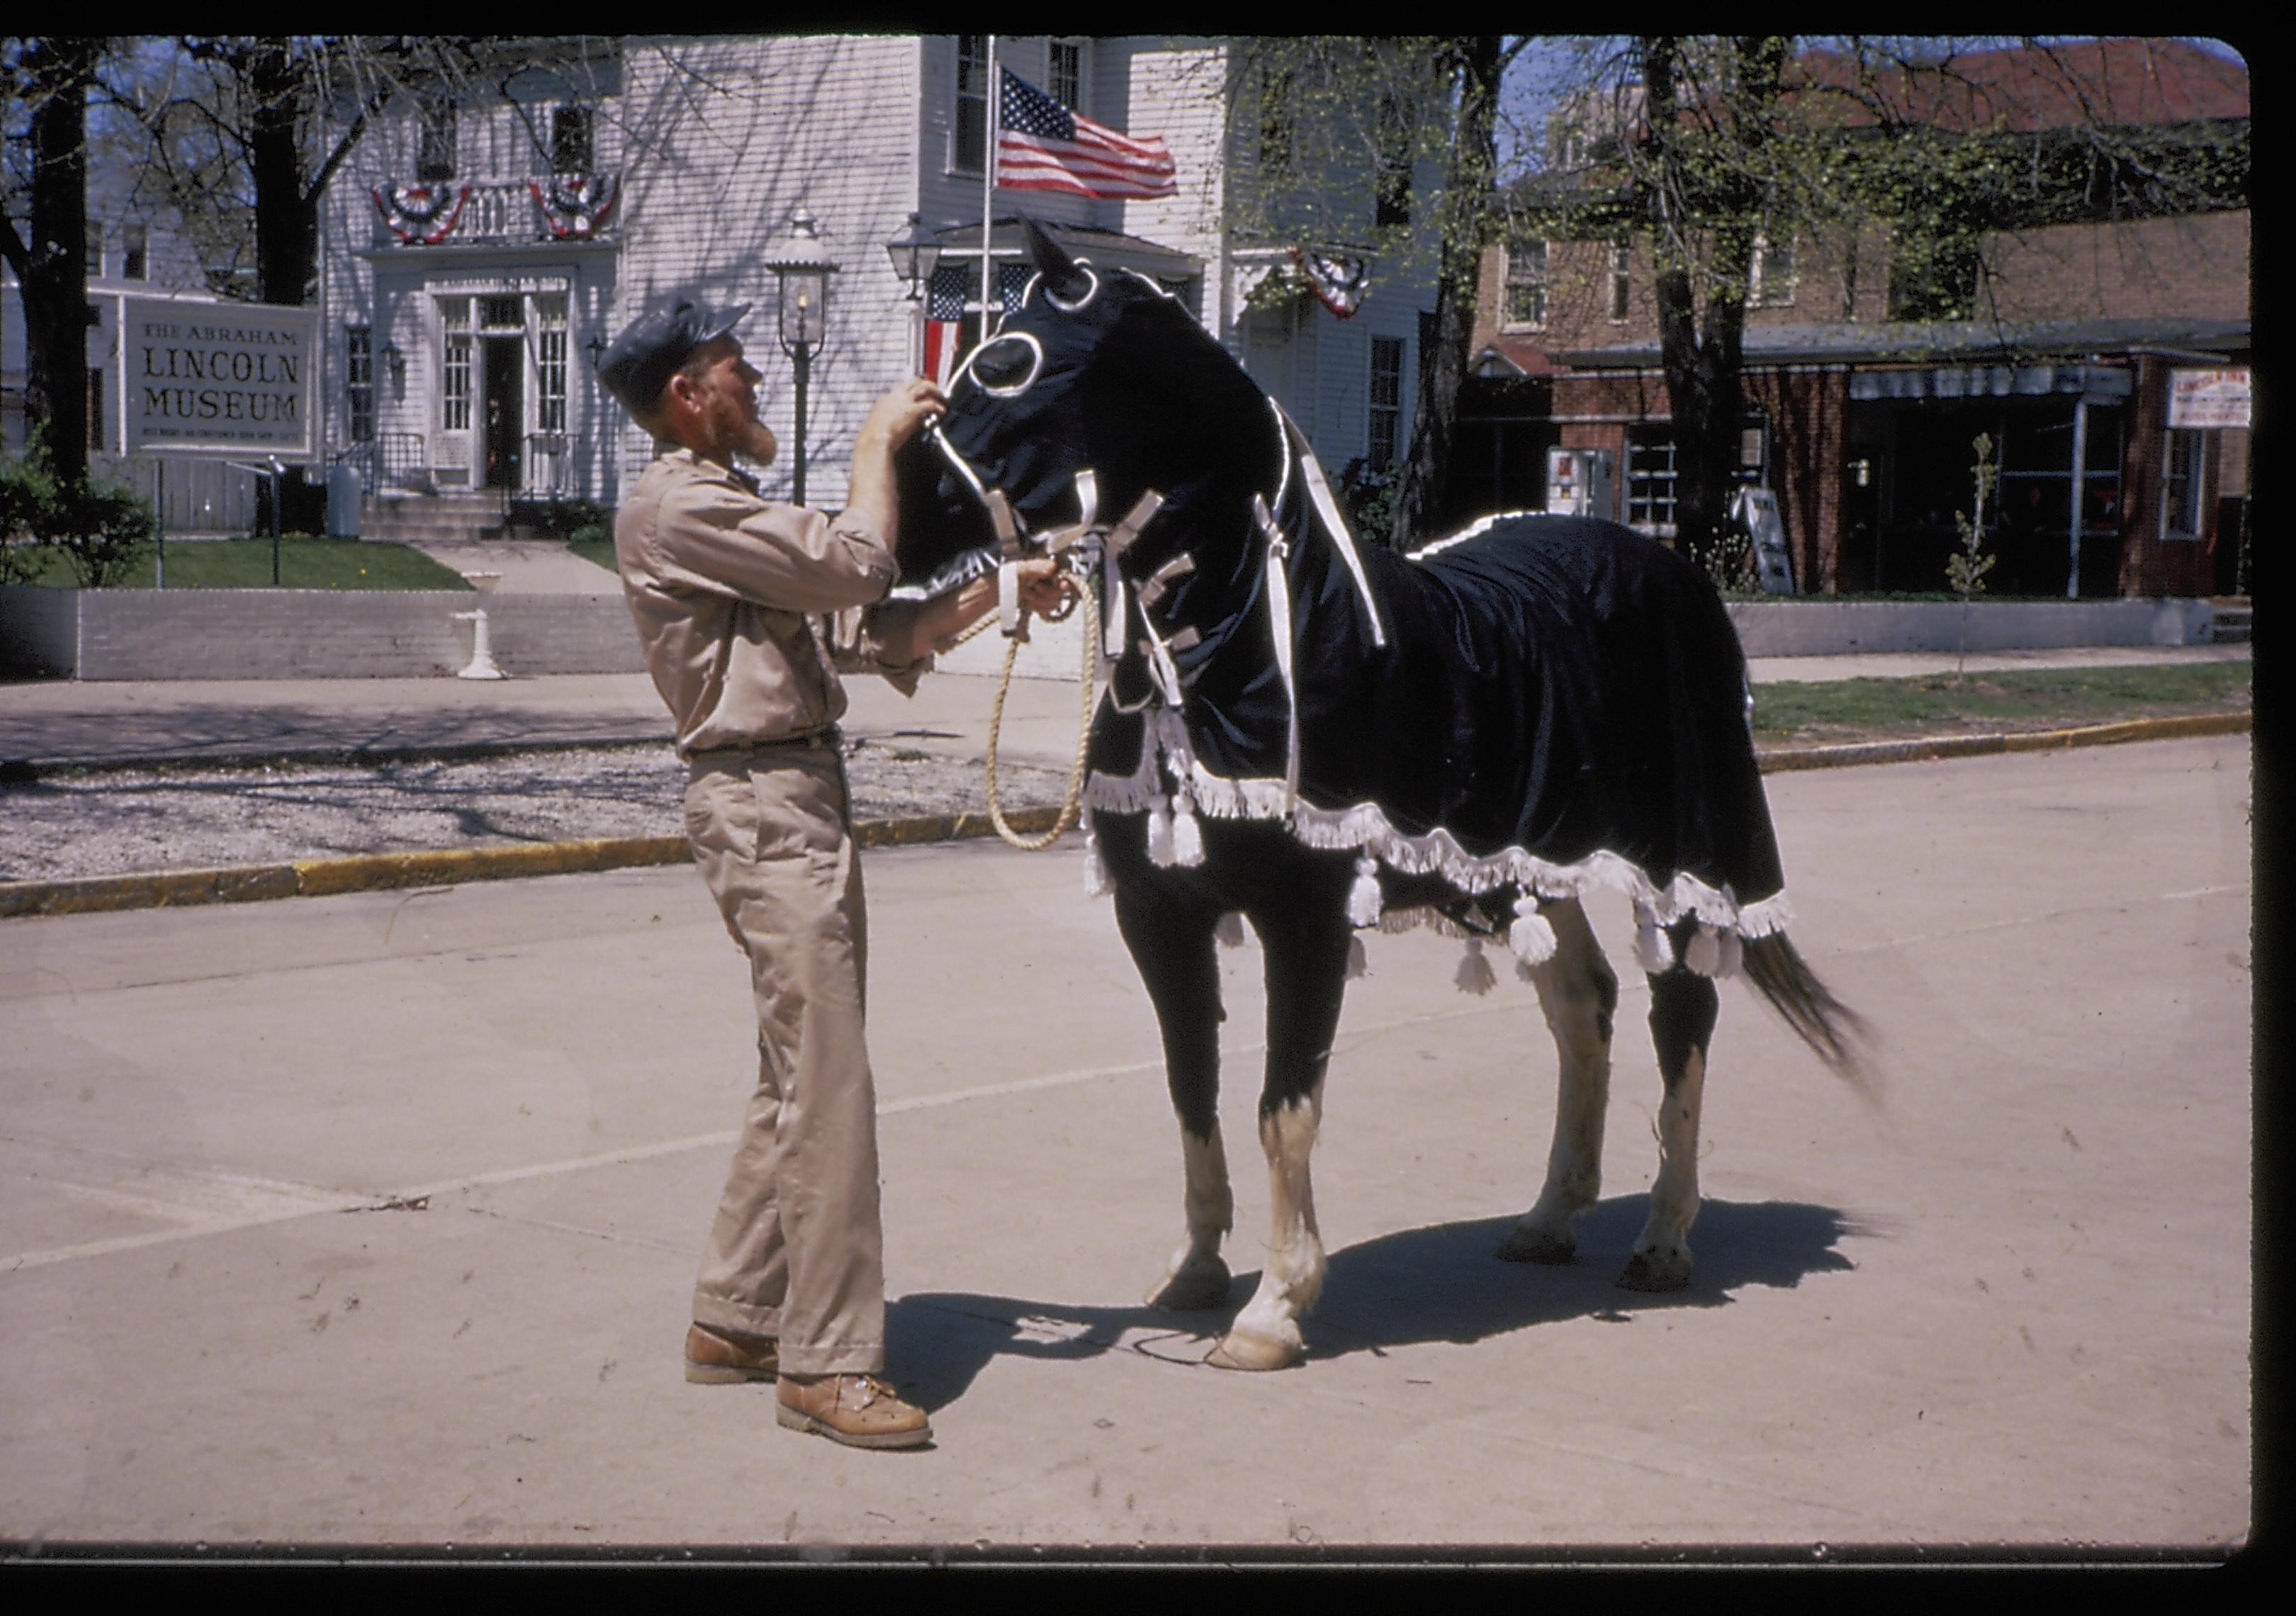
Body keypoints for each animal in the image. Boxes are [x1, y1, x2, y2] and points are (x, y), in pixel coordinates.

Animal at [891, 220, 1864, 1368]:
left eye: (1011, 361)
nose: (898, 520)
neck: (1247, 641)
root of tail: (1664, 565)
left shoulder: (1303, 917)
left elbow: (1282, 1105)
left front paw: (1274, 1311)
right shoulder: (1159, 916)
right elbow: (1191, 1089)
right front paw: (1195, 1273)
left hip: (1680, 874)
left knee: (1684, 1024)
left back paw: (1664, 1241)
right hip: (1538, 868)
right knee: (1585, 1006)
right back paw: (1548, 1219)